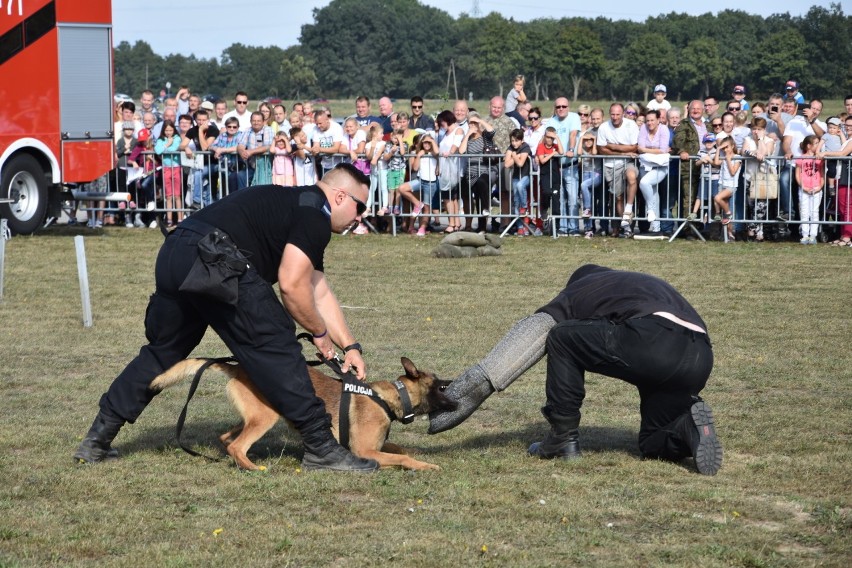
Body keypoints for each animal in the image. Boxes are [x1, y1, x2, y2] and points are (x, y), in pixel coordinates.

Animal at [150, 358, 456, 472]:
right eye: (439, 383)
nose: (454, 384)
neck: (389, 398)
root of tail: (238, 367)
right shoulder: (365, 450)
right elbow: (402, 457)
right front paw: (426, 466)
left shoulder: (377, 445)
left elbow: (400, 448)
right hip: (266, 417)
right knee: (237, 445)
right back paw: (253, 468)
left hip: (252, 415)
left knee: (226, 438)